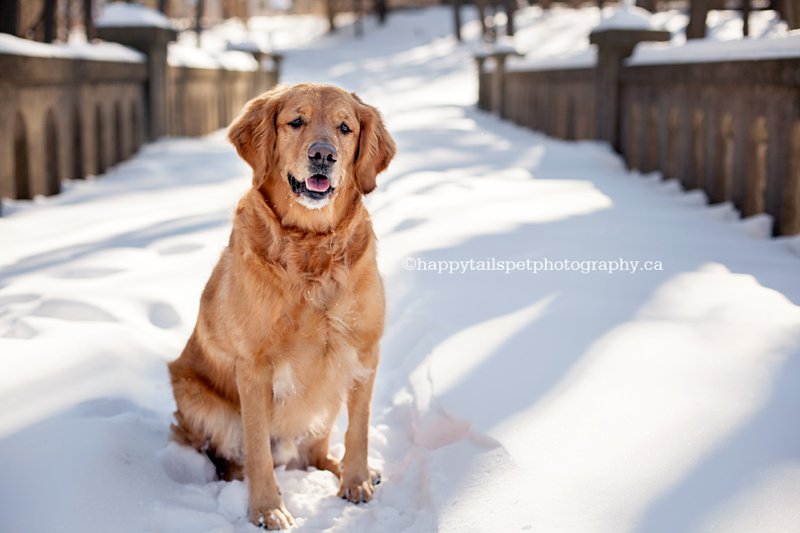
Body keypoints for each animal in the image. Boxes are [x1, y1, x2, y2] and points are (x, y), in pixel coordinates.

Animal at [170, 83, 396, 528]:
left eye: (345, 128)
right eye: (296, 121)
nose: (323, 155)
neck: (311, 246)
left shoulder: (364, 352)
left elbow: (358, 430)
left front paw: (357, 482)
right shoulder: (253, 369)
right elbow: (258, 449)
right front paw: (267, 509)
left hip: (326, 403)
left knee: (315, 454)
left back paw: (346, 470)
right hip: (195, 396)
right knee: (230, 461)